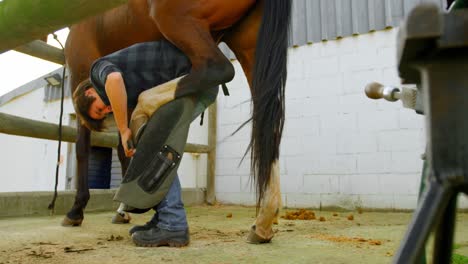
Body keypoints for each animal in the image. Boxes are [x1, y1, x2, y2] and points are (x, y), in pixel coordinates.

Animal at [64, 0, 290, 243]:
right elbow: (123, 148)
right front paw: (123, 211)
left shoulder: (82, 71)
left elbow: (83, 148)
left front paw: (76, 211)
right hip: (248, 44)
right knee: (266, 120)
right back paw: (264, 220)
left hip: (175, 20)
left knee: (216, 68)